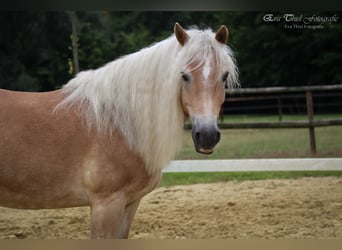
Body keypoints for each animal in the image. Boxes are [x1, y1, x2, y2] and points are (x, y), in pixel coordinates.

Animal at [0, 23, 238, 238]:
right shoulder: (106, 205)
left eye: (224, 76)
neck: (118, 123)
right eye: (185, 75)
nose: (207, 136)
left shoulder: (130, 203)